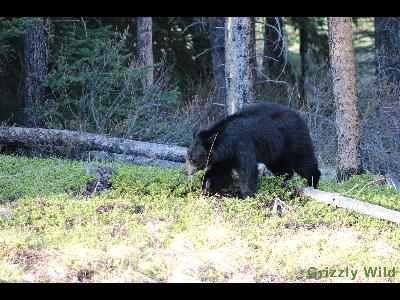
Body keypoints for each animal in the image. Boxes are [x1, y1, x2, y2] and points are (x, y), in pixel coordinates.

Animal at [183, 101, 320, 199]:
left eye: (192, 159)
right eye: (187, 156)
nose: (186, 172)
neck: (226, 143)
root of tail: (299, 115)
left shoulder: (241, 145)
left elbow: (248, 170)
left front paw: (245, 195)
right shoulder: (225, 157)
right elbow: (219, 172)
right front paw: (207, 185)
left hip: (292, 139)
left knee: (303, 160)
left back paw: (312, 183)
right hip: (275, 151)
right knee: (281, 167)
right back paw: (284, 180)